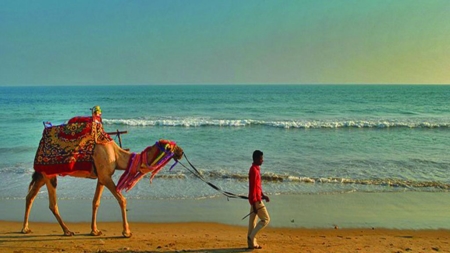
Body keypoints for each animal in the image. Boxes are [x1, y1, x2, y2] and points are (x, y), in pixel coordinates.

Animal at [21, 111, 183, 236]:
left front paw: (95, 230)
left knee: (30, 196)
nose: (181, 152)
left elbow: (96, 202)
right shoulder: (105, 176)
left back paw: (25, 228)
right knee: (52, 203)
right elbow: (122, 200)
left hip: (43, 175)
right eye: (171, 147)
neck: (116, 155)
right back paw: (67, 231)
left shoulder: (101, 177)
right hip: (49, 175)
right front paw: (126, 232)